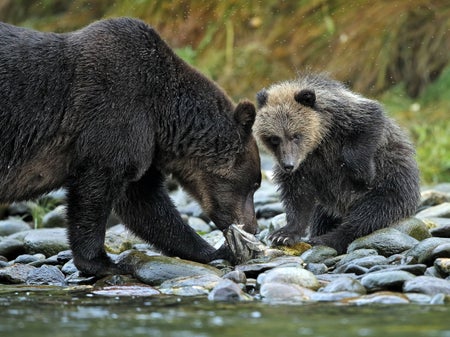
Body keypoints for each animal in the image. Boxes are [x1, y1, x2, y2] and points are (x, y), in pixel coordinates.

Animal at [0, 17, 262, 276]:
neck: (162, 115)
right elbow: (95, 191)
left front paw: (215, 251)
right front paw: (102, 262)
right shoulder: (115, 112)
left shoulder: (147, 145)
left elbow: (145, 203)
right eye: (254, 185)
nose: (253, 227)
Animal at [256, 73, 422, 252]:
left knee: (372, 213)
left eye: (295, 135)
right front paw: (283, 234)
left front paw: (363, 175)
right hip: (326, 205)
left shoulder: (346, 117)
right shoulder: (304, 167)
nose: (288, 165)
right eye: (274, 139)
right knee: (321, 217)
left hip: (393, 183)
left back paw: (327, 239)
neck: (320, 140)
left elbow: (369, 122)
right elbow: (297, 197)